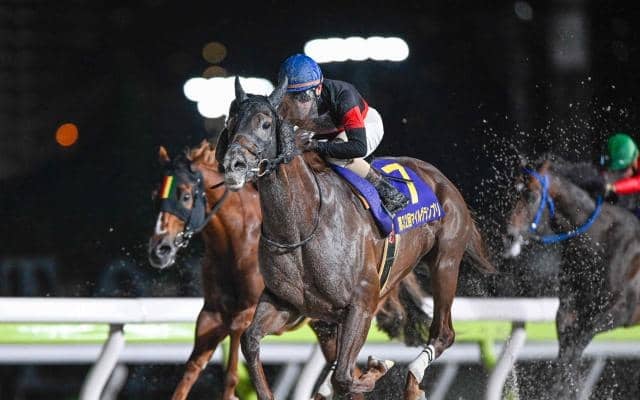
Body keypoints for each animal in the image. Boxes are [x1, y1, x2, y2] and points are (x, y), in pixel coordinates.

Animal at [147, 139, 437, 399]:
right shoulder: (211, 315)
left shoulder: (248, 312)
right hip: (326, 325)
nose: (159, 249)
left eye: (185, 195)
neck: (235, 243)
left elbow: (231, 372)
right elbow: (191, 371)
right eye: (155, 197)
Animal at [220, 76, 495, 399]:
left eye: (265, 124)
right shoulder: (285, 302)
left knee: (444, 333)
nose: (233, 165)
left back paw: (413, 380)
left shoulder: (361, 303)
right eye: (230, 122)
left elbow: (345, 376)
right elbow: (250, 341)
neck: (301, 226)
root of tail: (440, 178)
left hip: (445, 261)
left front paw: (377, 367)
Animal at [503, 154, 640, 398]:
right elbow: (566, 361)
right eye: (511, 191)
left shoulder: (617, 312)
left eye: (531, 195)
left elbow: (573, 355)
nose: (509, 236)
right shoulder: (569, 311)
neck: (598, 242)